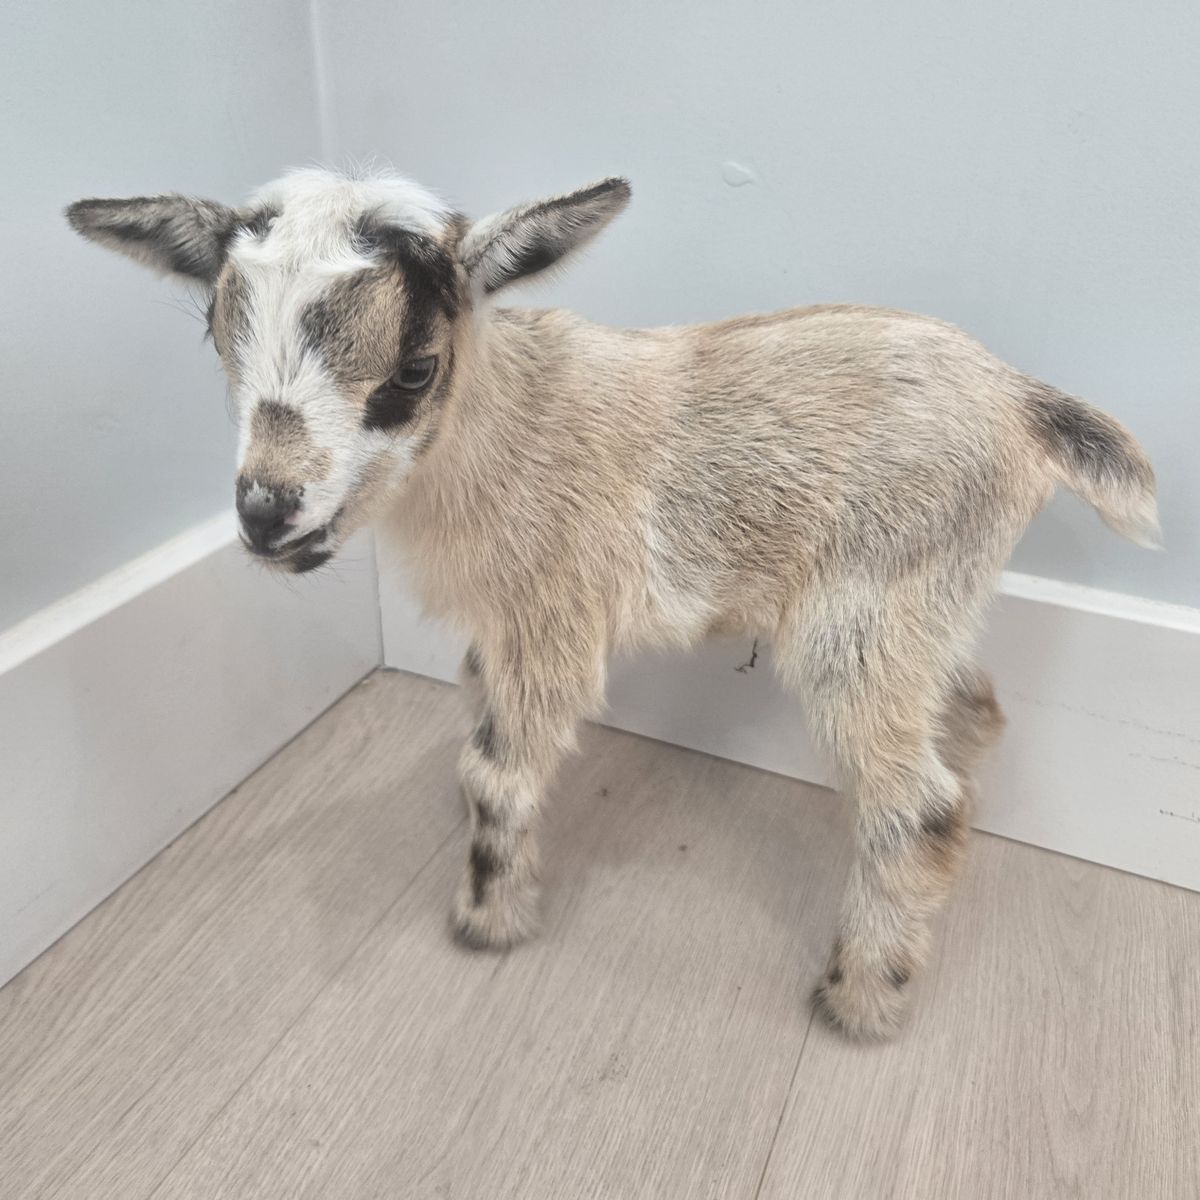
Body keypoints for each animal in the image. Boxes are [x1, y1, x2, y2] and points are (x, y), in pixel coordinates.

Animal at [67, 168, 1159, 1038]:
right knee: (971, 717)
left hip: (865, 617)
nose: (266, 514)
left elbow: (496, 773)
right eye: (220, 341)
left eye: (414, 368)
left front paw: (487, 919)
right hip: (930, 605)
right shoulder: (498, 628)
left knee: (918, 801)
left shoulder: (549, 614)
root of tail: (1023, 400)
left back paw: (861, 997)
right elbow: (477, 715)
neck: (502, 426)